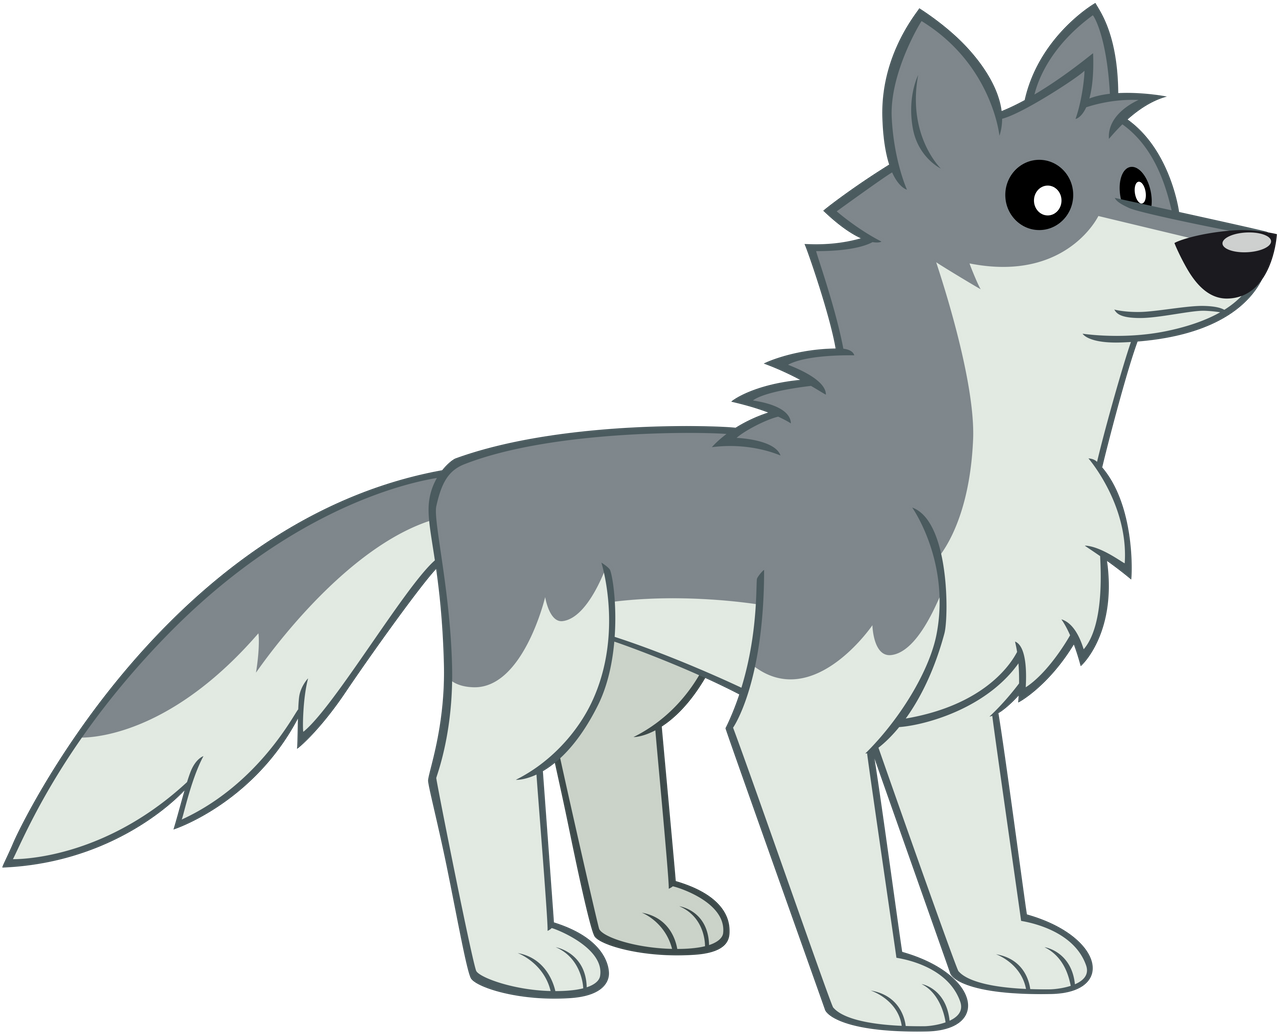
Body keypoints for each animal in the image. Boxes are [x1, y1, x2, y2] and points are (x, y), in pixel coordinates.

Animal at [6, 4, 1273, 1031]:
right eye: (1038, 199)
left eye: (1144, 187)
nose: (1239, 252)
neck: (967, 479)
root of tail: (448, 475)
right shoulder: (801, 723)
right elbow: (848, 876)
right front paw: (877, 988)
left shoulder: (946, 717)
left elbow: (975, 856)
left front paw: (999, 955)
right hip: (534, 674)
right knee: (468, 781)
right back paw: (524, 957)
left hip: (632, 679)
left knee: (599, 764)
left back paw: (645, 920)